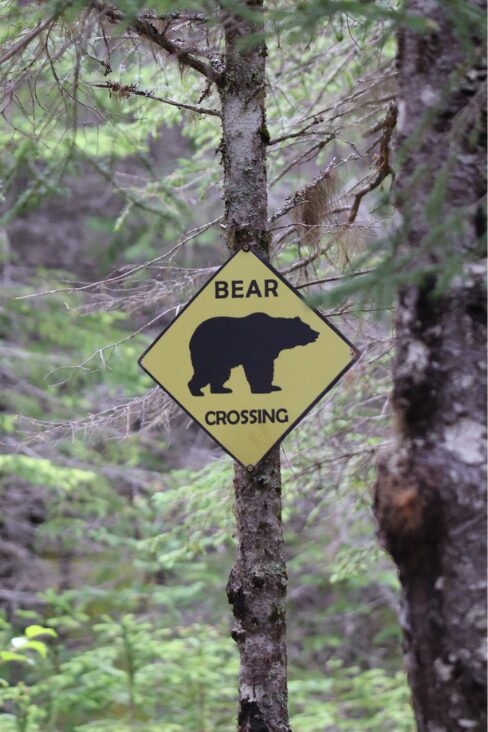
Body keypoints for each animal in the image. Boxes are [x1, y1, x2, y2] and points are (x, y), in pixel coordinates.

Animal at [187, 312, 319, 396]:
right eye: (307, 327)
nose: (317, 333)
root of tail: (192, 338)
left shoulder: (269, 352)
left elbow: (268, 368)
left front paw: (273, 386)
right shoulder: (257, 349)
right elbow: (258, 368)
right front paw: (261, 389)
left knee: (221, 374)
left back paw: (222, 389)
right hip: (210, 352)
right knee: (206, 372)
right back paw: (196, 391)